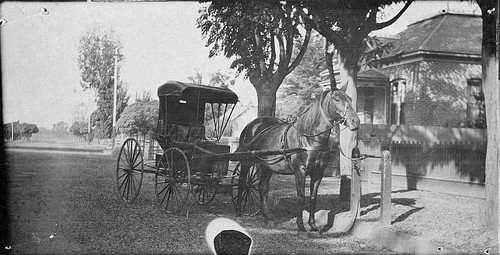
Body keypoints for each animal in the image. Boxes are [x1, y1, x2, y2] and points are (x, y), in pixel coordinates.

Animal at [234, 88, 360, 233]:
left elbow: (313, 197)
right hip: (246, 162)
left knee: (262, 187)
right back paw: (239, 213)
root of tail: (252, 125)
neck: (309, 137)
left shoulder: (318, 172)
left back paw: (267, 217)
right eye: (337, 99)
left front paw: (313, 226)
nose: (355, 121)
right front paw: (301, 226)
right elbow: (301, 197)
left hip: (268, 166)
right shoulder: (300, 171)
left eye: (350, 99)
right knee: (242, 183)